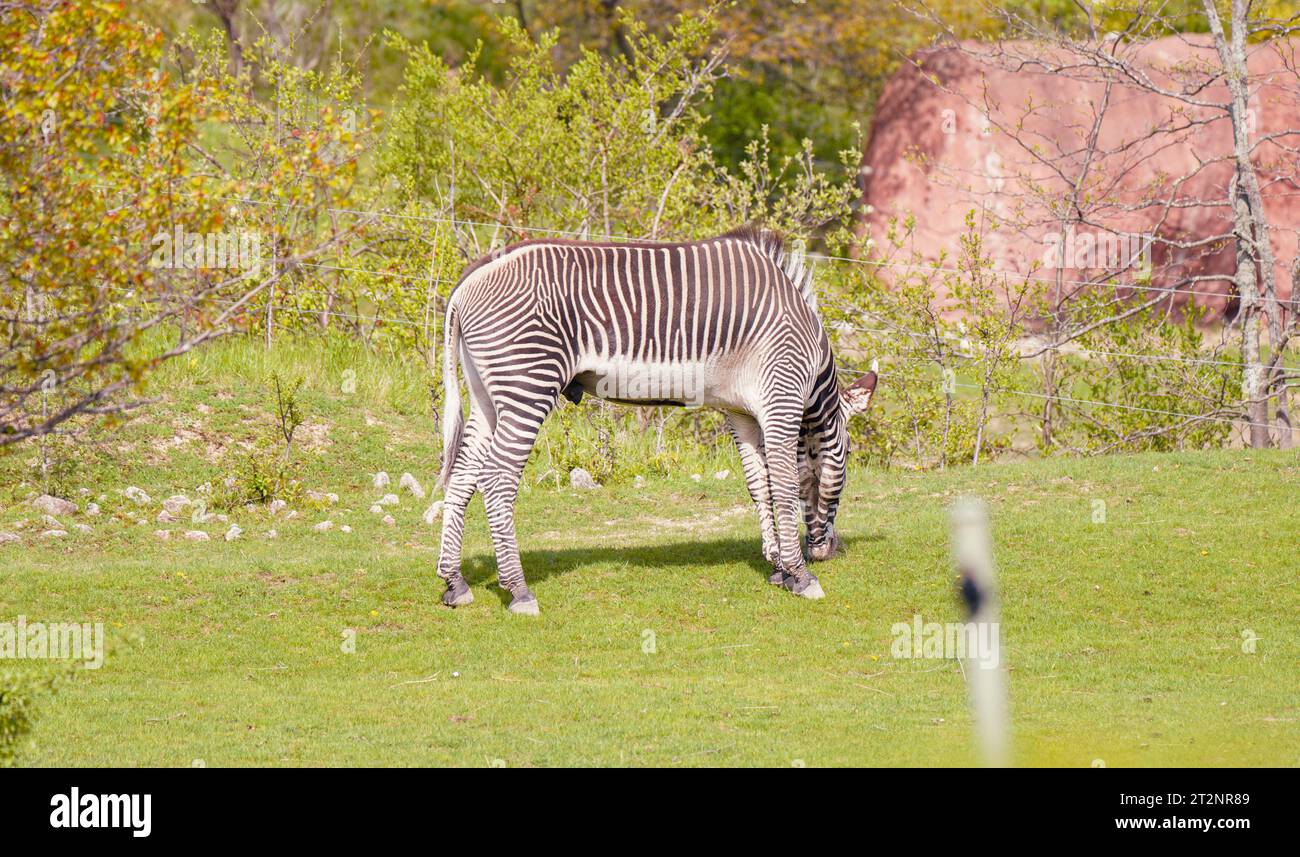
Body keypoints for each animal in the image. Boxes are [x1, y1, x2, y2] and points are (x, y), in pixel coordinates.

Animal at [435, 226, 877, 615]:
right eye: (847, 456)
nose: (827, 552)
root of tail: (468, 280)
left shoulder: (742, 413)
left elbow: (760, 485)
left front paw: (777, 567)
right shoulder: (780, 398)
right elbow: (784, 486)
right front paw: (800, 577)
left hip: (487, 394)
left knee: (463, 474)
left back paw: (455, 583)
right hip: (527, 383)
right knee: (497, 478)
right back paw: (519, 591)